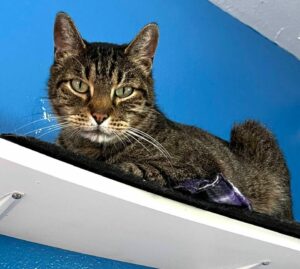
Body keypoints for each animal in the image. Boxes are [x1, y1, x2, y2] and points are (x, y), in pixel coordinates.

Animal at [48, 12, 292, 218]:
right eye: (79, 85)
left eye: (124, 91)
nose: (99, 115)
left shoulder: (204, 170)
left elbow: (149, 169)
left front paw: (125, 164)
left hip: (250, 130)